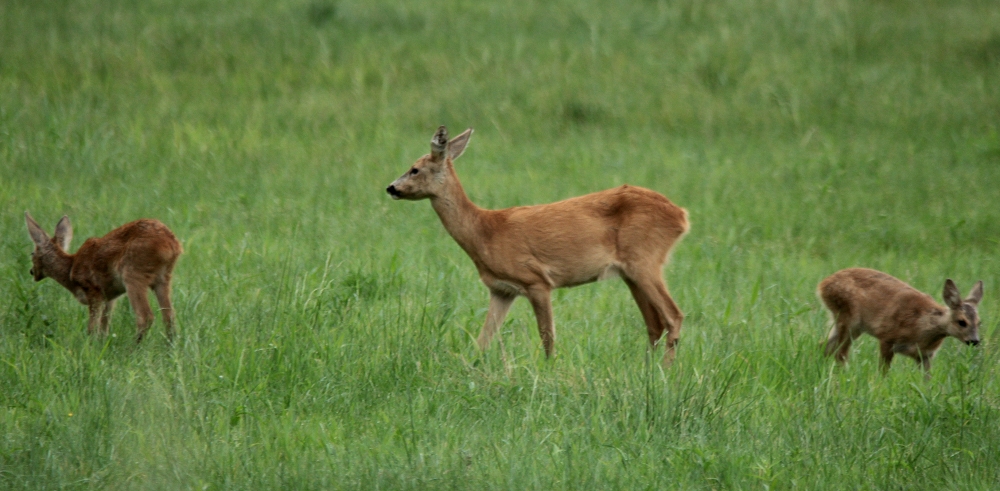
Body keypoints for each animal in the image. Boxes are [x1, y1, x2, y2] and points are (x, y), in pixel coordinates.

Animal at [24, 213, 182, 344]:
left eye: (32, 253)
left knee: (146, 316)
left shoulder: (93, 289)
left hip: (133, 274)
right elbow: (104, 325)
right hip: (163, 278)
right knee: (169, 315)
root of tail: (172, 245)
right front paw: (101, 344)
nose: (31, 271)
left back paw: (132, 350)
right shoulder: (109, 296)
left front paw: (90, 346)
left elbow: (92, 327)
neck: (70, 270)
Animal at [386, 127, 692, 366]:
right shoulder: (502, 289)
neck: (484, 232)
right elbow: (484, 338)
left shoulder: (536, 280)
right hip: (631, 272)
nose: (391, 187)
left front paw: (549, 369)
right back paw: (647, 370)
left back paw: (665, 371)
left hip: (644, 260)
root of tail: (681, 216)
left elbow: (547, 336)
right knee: (654, 324)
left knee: (673, 316)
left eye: (414, 169)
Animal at [820, 270, 984, 376]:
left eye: (979, 322)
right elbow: (883, 370)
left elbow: (927, 380)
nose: (974, 340)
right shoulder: (887, 336)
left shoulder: (925, 355)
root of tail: (822, 285)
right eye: (961, 322)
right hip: (848, 317)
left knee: (825, 345)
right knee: (840, 352)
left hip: (848, 323)